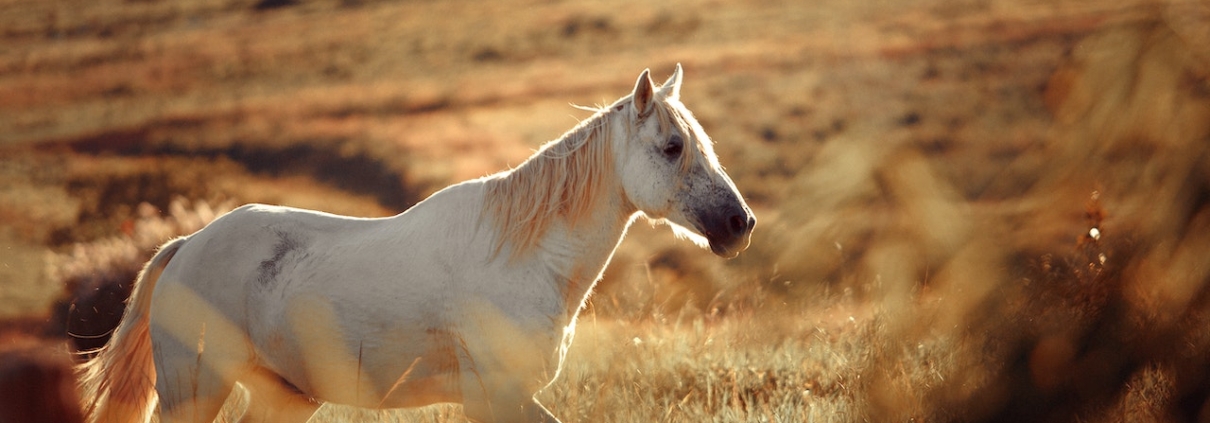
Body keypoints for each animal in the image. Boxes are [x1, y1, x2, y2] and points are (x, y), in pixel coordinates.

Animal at [75, 63, 755, 423]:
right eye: (673, 147)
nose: (739, 225)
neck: (525, 260)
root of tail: (186, 246)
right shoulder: (499, 398)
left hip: (282, 398)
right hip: (194, 391)